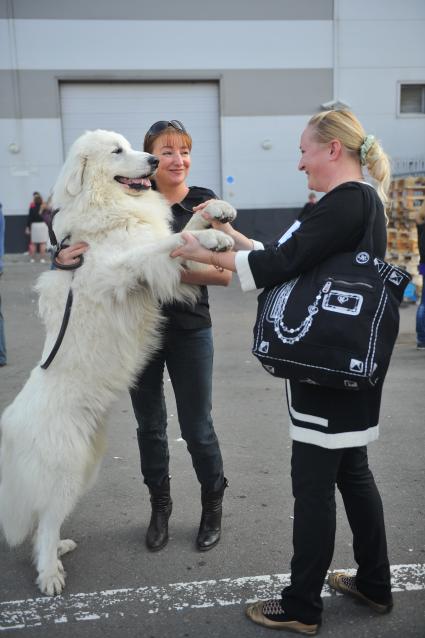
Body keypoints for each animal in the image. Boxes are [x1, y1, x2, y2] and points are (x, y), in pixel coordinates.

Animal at [0, 127, 235, 596]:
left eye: (132, 145)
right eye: (117, 151)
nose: (154, 162)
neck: (110, 206)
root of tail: (10, 425)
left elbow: (180, 226)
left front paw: (216, 211)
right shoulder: (123, 269)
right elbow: (166, 242)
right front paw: (212, 240)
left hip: (85, 466)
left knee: (46, 523)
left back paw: (58, 552)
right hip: (66, 470)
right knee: (46, 523)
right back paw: (50, 574)